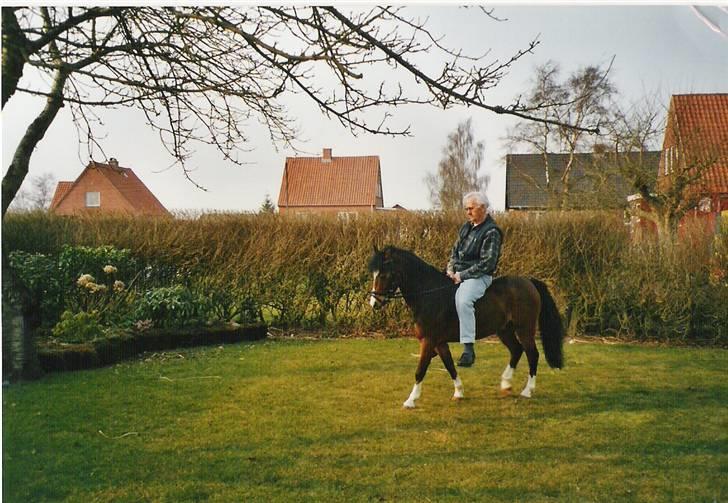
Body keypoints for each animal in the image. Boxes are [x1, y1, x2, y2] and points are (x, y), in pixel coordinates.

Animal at [366, 246, 564, 408]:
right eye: (374, 274)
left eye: (383, 275)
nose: (374, 303)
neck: (429, 295)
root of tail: (529, 282)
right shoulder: (439, 343)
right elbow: (449, 366)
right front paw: (459, 392)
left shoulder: (429, 341)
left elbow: (420, 370)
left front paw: (410, 400)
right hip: (504, 330)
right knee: (516, 350)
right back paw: (506, 383)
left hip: (524, 329)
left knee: (532, 354)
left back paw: (527, 391)